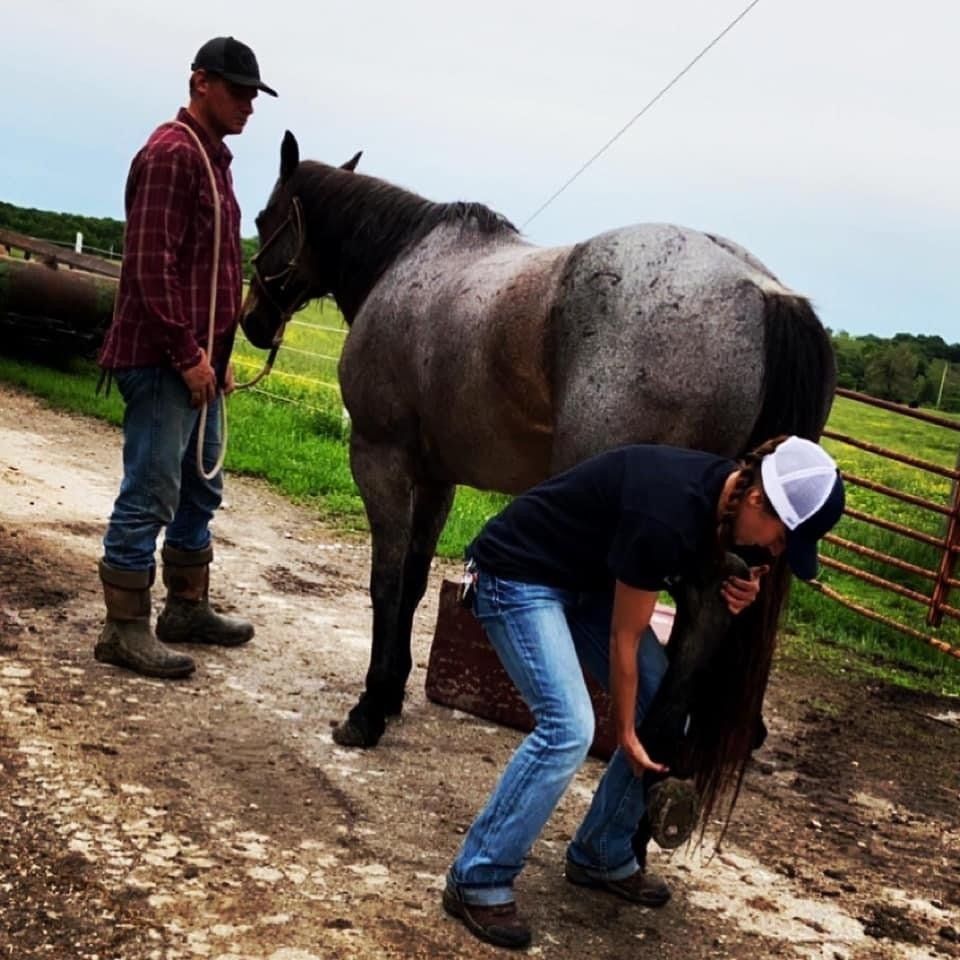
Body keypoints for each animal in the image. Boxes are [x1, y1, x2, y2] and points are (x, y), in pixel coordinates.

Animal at [241, 131, 836, 821]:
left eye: (266, 219)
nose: (252, 322)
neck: (408, 263)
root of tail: (763, 291)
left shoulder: (380, 459)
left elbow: (385, 582)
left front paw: (369, 709)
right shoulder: (437, 478)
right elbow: (414, 581)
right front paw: (391, 691)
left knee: (706, 613)